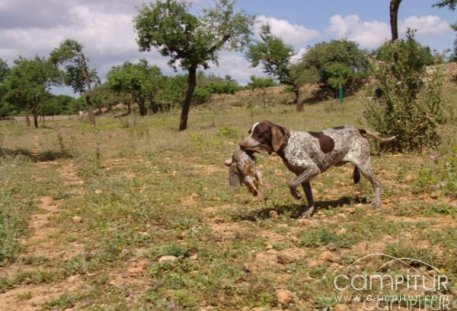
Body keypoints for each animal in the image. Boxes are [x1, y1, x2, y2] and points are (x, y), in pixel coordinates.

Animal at [240, 120, 394, 218]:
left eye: (258, 133)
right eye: (249, 132)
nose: (241, 145)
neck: (287, 142)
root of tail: (358, 130)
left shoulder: (312, 169)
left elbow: (291, 184)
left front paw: (296, 195)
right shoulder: (303, 177)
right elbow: (310, 198)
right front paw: (309, 212)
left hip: (364, 166)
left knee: (376, 183)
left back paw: (377, 202)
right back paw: (356, 176)